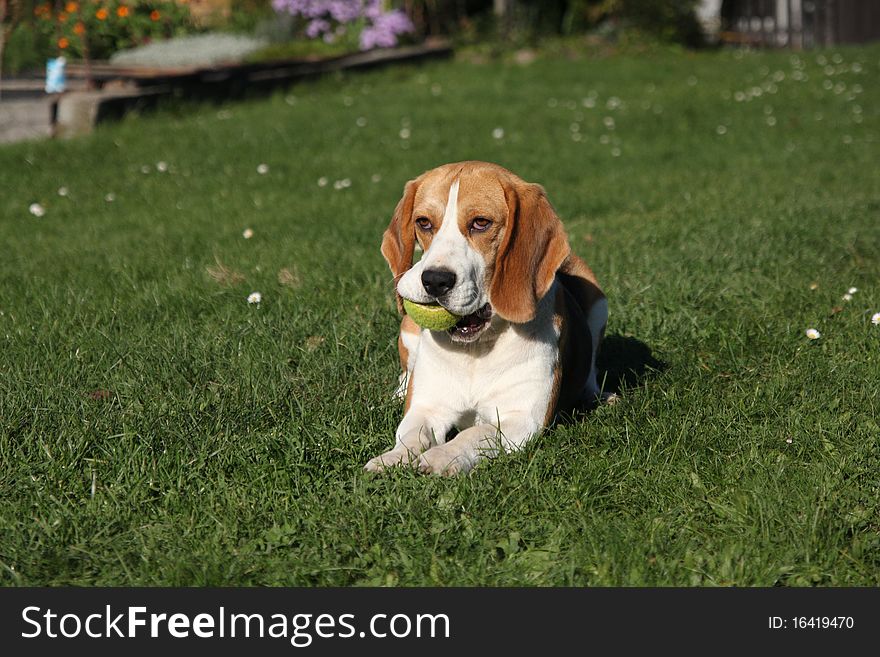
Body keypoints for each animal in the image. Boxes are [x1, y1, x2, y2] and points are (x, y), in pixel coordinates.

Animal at [366, 161, 612, 474]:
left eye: (481, 223)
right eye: (423, 222)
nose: (434, 280)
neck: (476, 350)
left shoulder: (519, 419)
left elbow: (473, 434)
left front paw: (441, 457)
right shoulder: (427, 407)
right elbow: (412, 434)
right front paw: (392, 457)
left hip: (597, 298)